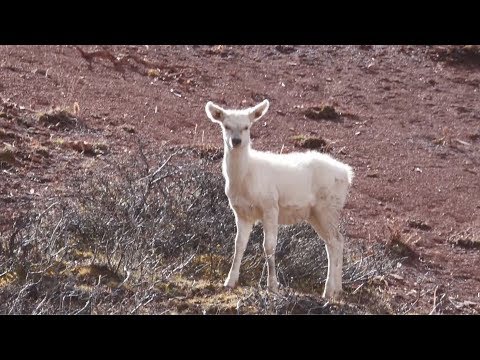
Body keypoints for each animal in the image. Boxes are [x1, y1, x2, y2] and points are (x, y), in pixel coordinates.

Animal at [204, 99, 354, 298]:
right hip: (315, 214)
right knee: (333, 242)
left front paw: (272, 286)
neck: (244, 179)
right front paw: (229, 281)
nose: (236, 141)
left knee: (336, 240)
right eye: (226, 126)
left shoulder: (270, 206)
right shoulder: (242, 212)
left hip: (328, 208)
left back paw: (330, 291)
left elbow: (269, 246)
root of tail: (347, 174)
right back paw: (336, 290)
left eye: (247, 126)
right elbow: (239, 245)